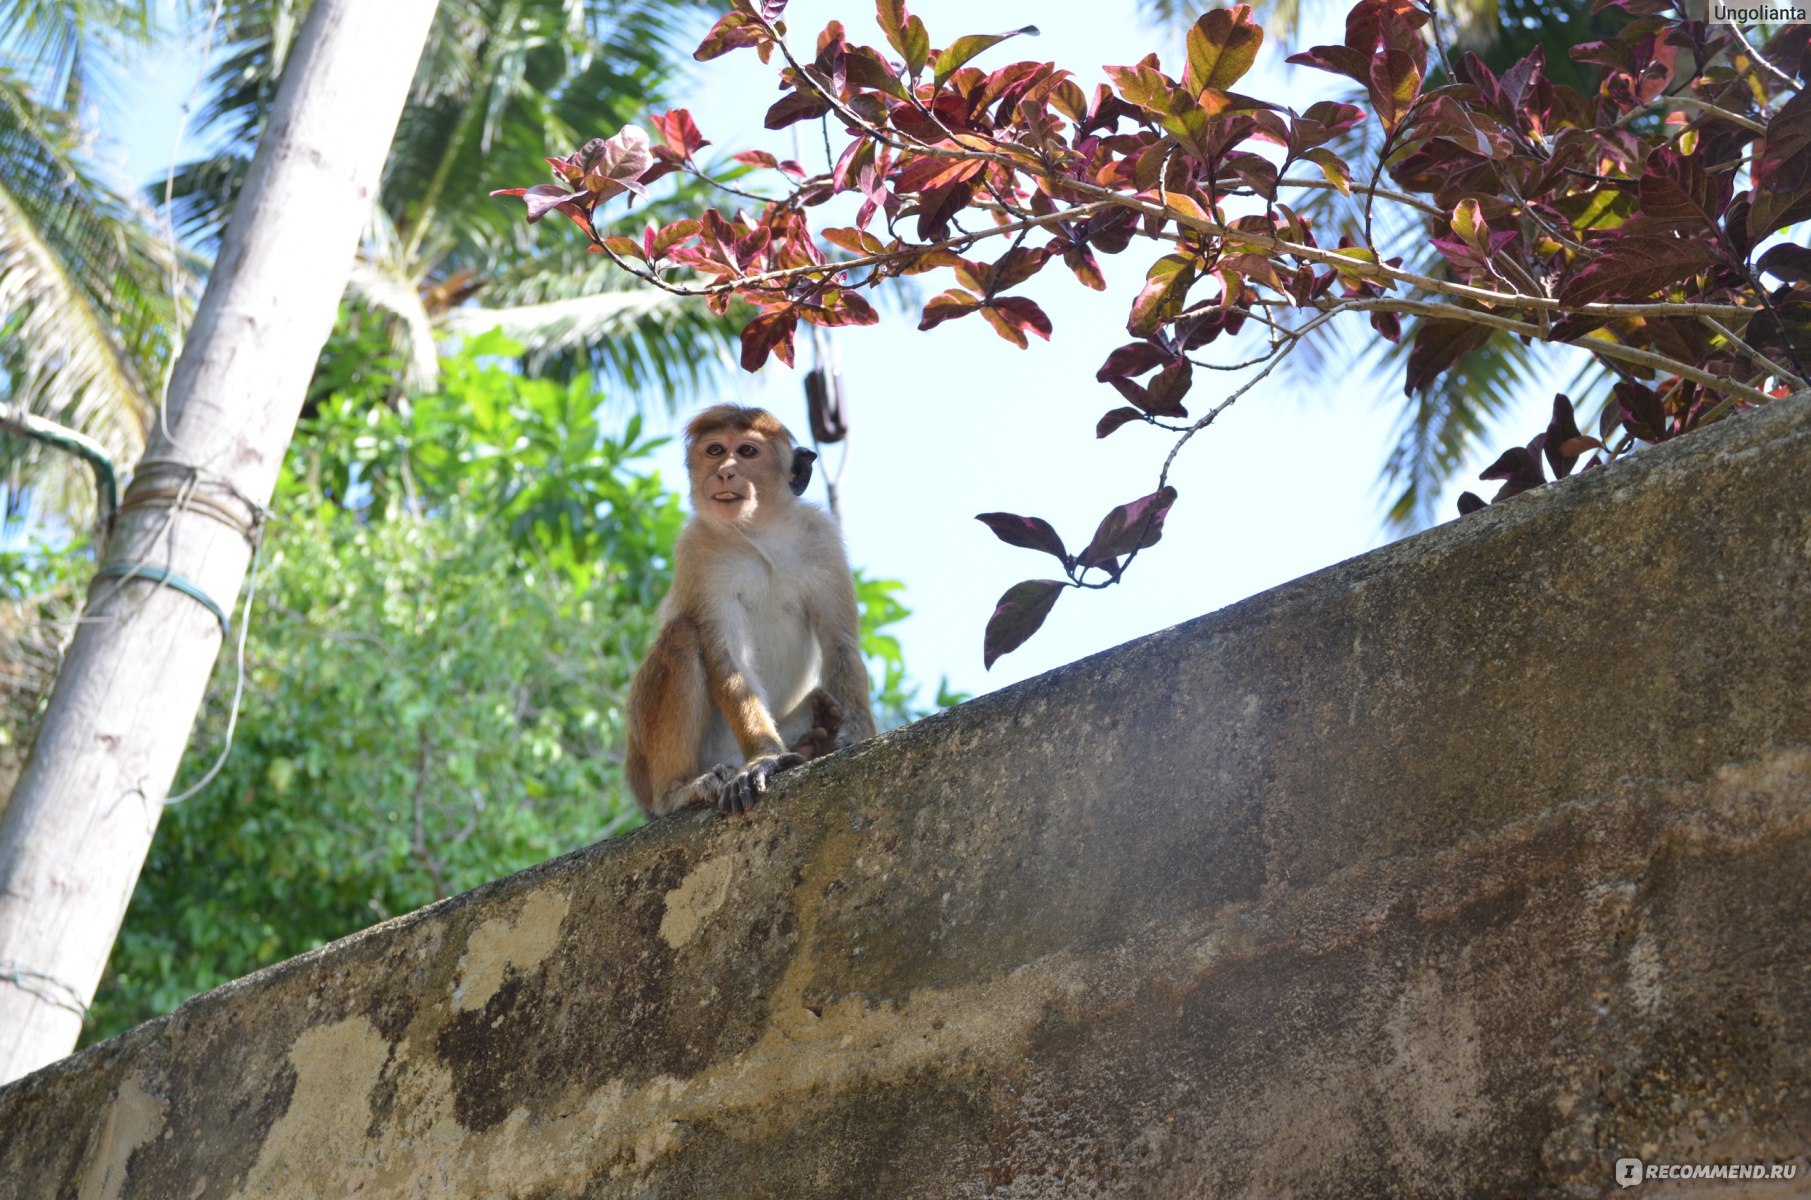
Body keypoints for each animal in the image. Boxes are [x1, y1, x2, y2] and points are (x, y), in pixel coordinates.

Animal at [622, 405, 876, 818]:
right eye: (714, 450)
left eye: (746, 451)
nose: (725, 471)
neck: (760, 532)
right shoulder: (697, 552)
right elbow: (726, 657)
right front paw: (764, 759)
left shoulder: (822, 539)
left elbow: (840, 644)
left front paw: (858, 737)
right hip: (645, 761)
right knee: (682, 634)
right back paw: (677, 792)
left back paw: (816, 736)